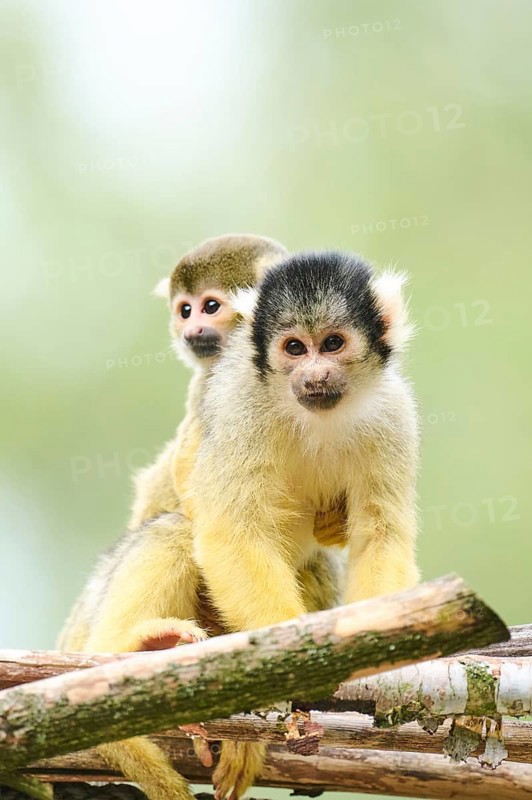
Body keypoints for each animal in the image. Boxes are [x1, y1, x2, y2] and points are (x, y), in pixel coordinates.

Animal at [183, 249, 420, 799]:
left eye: (332, 344)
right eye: (294, 348)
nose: (314, 374)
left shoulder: (395, 413)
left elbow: (382, 537)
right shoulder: (239, 403)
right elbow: (233, 531)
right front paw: (293, 667)